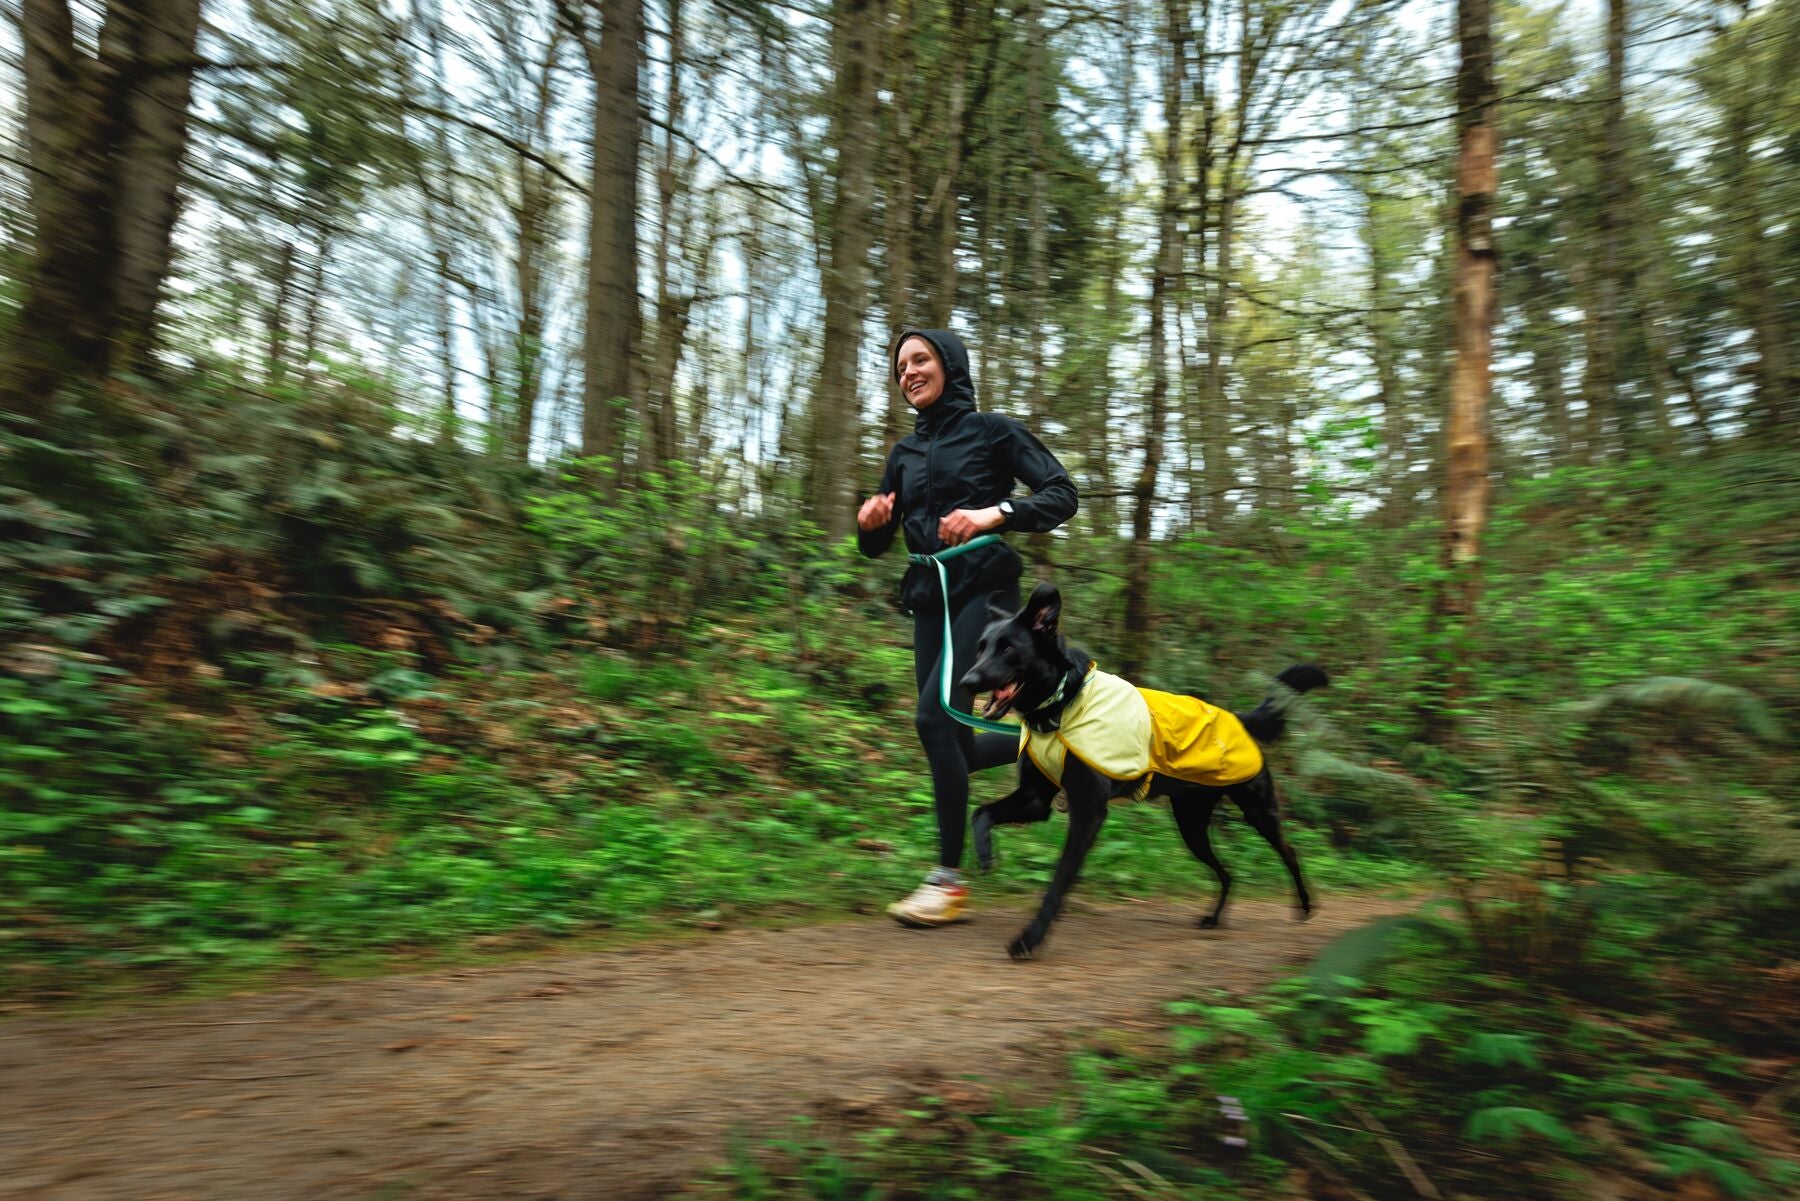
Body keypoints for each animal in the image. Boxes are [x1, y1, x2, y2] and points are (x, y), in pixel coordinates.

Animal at [964, 576, 1332, 965]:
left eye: (1008, 648)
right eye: (981, 647)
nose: (966, 681)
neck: (1060, 706)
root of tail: (1240, 719)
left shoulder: (1088, 812)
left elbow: (1059, 879)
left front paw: (1030, 938)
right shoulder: (1036, 799)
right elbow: (980, 812)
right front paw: (985, 854)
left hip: (1257, 811)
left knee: (1289, 852)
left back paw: (1304, 905)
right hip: (1191, 826)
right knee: (1228, 872)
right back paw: (1215, 918)